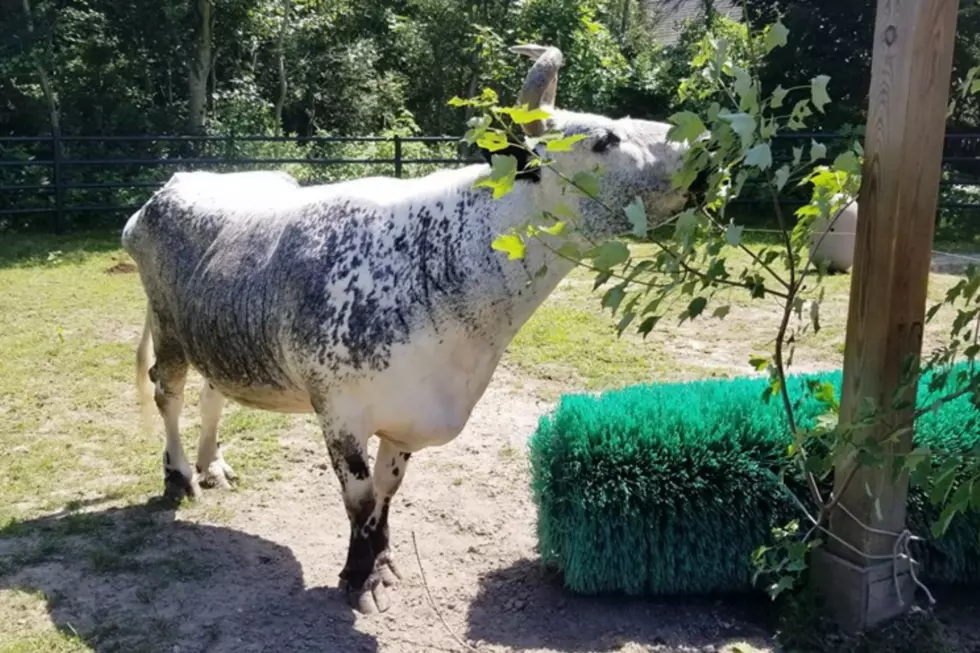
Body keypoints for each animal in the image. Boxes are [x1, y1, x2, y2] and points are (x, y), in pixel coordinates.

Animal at [120, 43, 688, 612]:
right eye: (605, 139)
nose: (692, 142)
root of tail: (166, 192)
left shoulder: (404, 420)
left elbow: (387, 493)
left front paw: (382, 564)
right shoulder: (341, 413)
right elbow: (359, 497)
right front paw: (357, 577)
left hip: (218, 336)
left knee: (212, 395)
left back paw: (212, 466)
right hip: (169, 328)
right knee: (168, 394)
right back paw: (180, 478)